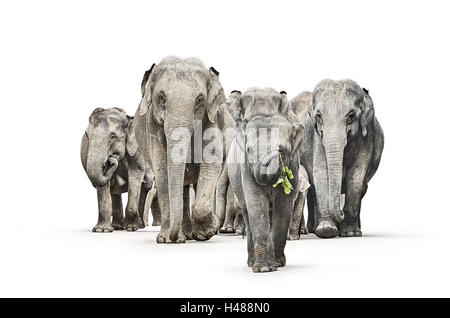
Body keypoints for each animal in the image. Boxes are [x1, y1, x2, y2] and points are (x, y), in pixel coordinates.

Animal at [134, 56, 234, 243]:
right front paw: (165, 239)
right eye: (161, 97)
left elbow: (211, 163)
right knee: (183, 187)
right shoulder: (153, 125)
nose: (172, 238)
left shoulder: (212, 119)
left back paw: (192, 234)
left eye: (200, 99)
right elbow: (161, 170)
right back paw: (185, 236)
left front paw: (207, 231)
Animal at [227, 88, 304, 272]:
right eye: (249, 150)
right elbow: (256, 203)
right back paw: (251, 263)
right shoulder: (245, 167)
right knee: (247, 212)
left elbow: (284, 205)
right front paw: (264, 269)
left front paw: (278, 264)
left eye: (283, 151)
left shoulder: (294, 164)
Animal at [294, 80, 384, 238]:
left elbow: (356, 175)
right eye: (319, 116)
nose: (341, 212)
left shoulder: (367, 135)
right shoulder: (318, 137)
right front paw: (326, 230)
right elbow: (322, 173)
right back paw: (311, 230)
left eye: (351, 116)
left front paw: (350, 233)